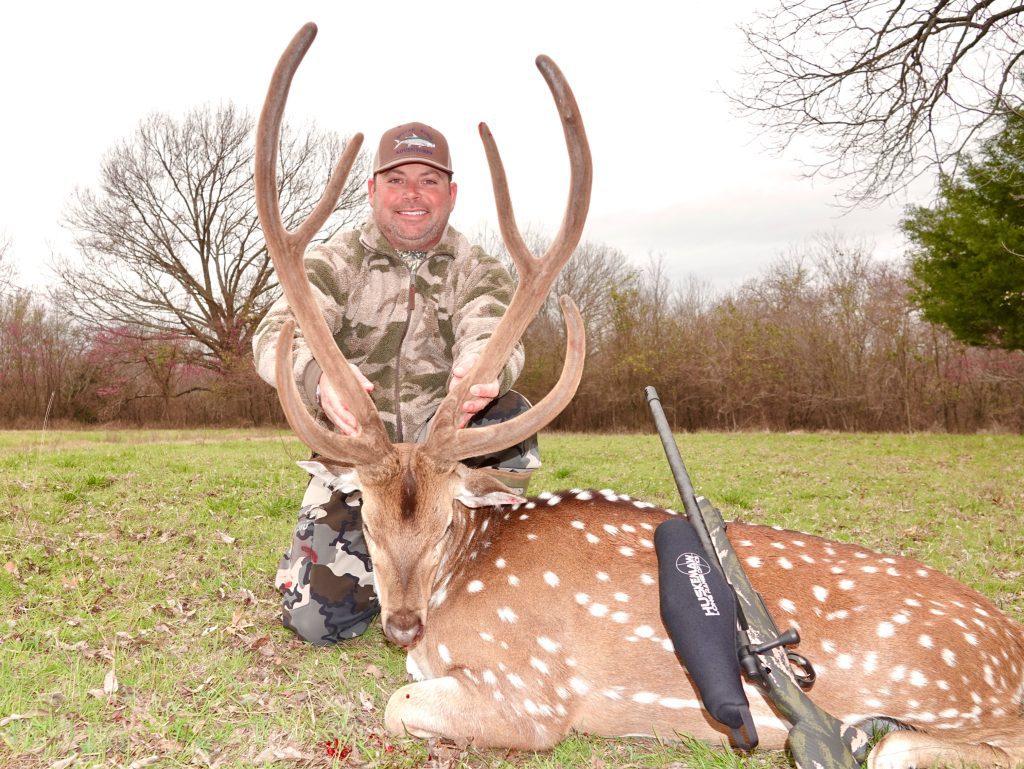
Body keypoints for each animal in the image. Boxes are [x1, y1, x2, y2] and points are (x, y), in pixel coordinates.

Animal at [255, 23, 1024, 769]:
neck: (457, 582)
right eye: (367, 515)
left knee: (917, 742)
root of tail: (1012, 648)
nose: (402, 624)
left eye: (446, 520)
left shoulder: (528, 689)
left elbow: (397, 702)